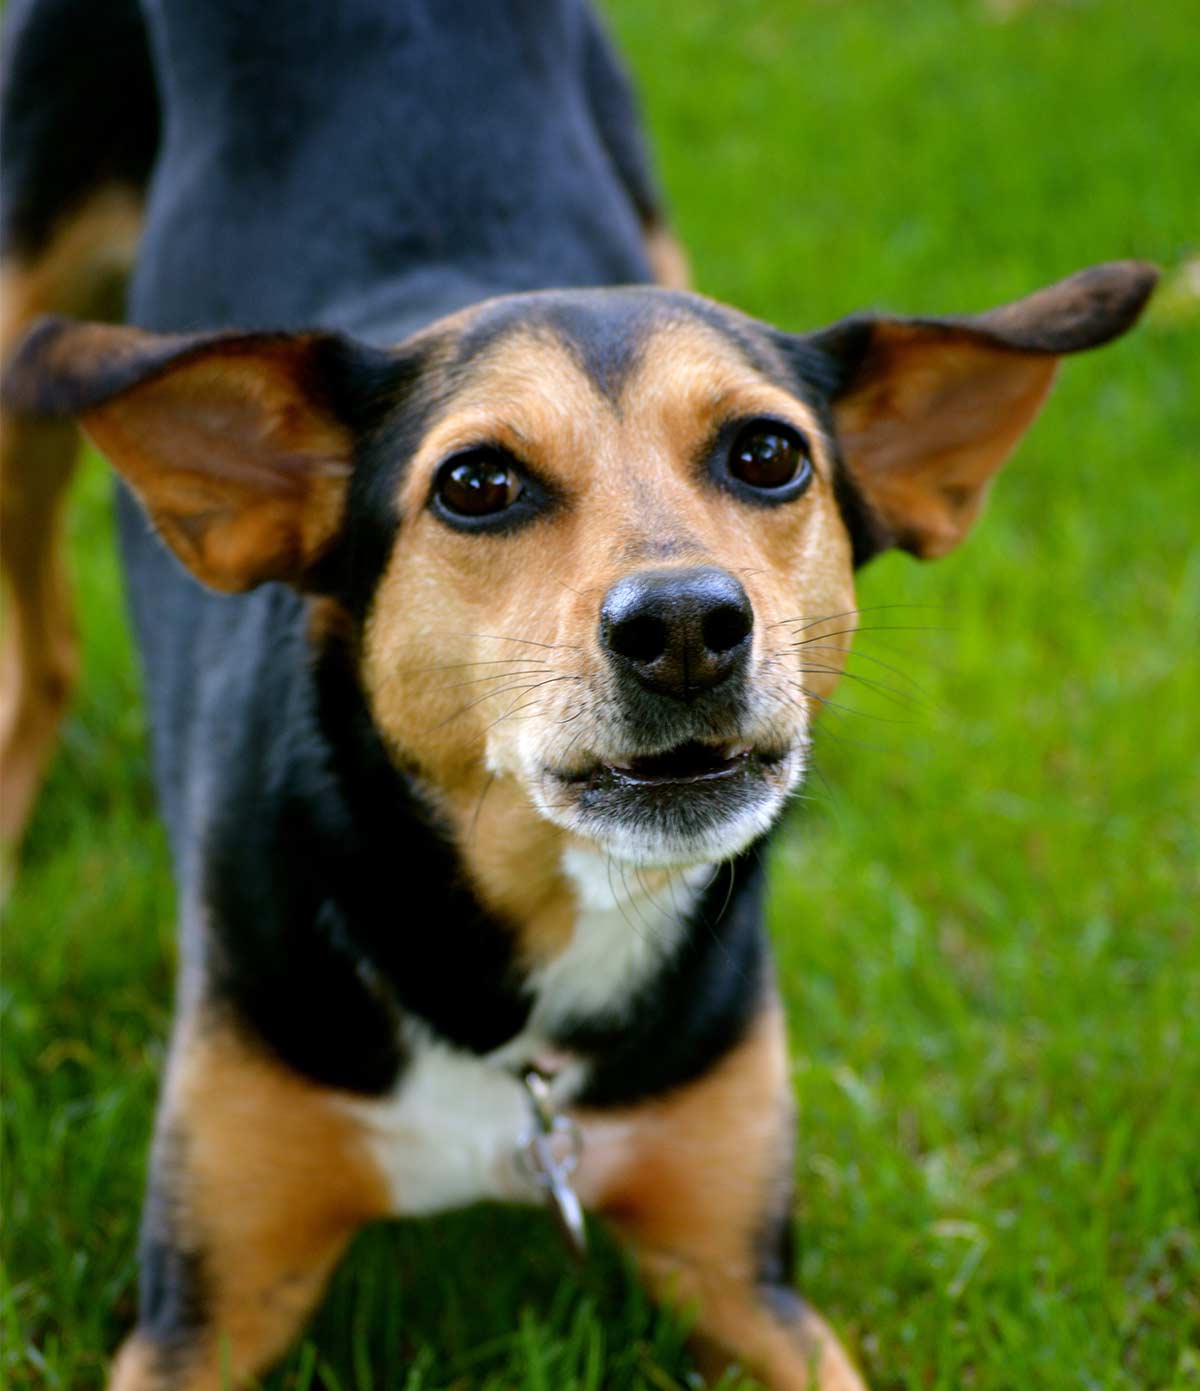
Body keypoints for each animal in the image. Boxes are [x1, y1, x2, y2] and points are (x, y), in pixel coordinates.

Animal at [0, 2, 1156, 1391]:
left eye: (769, 454)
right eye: (477, 483)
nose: (686, 627)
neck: (527, 986)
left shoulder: (749, 1278)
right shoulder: (201, 1307)